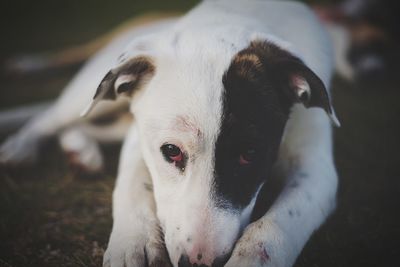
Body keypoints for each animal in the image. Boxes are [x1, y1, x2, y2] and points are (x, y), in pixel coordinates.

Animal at [1, 0, 342, 267]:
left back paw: (81, 152)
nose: (200, 263)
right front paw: (134, 241)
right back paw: (20, 148)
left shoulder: (317, 171)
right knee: (51, 115)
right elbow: (132, 185)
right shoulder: (139, 139)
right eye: (171, 151)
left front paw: (253, 258)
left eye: (250, 154)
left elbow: (280, 222)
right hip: (91, 91)